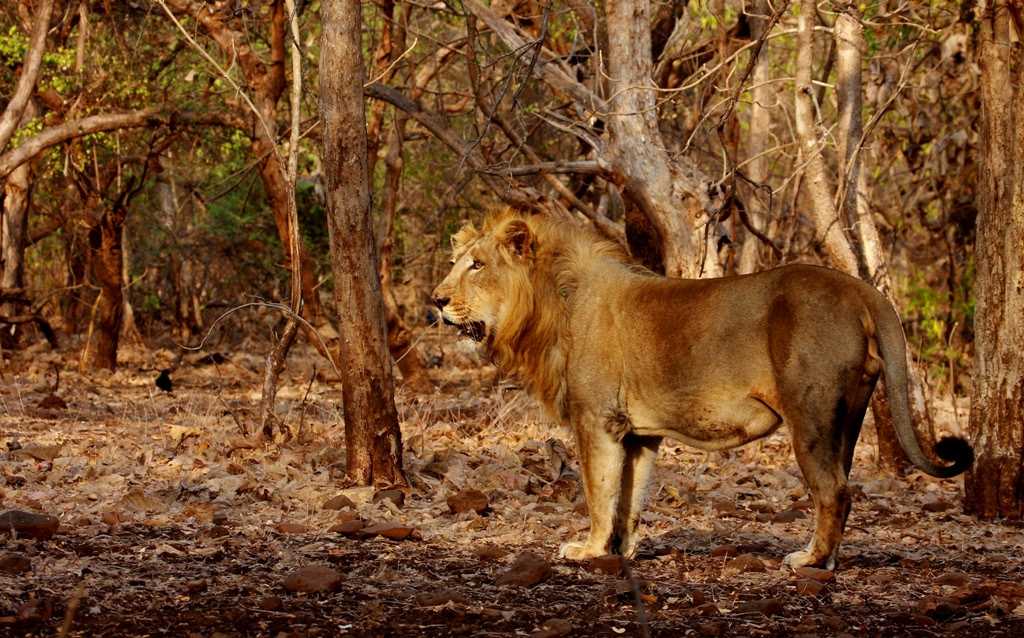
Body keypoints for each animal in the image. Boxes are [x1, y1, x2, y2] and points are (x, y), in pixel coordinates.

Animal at [428, 209, 970, 569]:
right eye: (459, 262)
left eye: (476, 265)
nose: (435, 300)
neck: (550, 303)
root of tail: (862, 288)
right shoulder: (638, 433)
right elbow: (629, 497)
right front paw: (621, 550)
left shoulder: (596, 419)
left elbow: (599, 491)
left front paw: (588, 550)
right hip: (850, 416)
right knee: (842, 485)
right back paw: (828, 558)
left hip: (811, 416)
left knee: (834, 489)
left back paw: (810, 560)